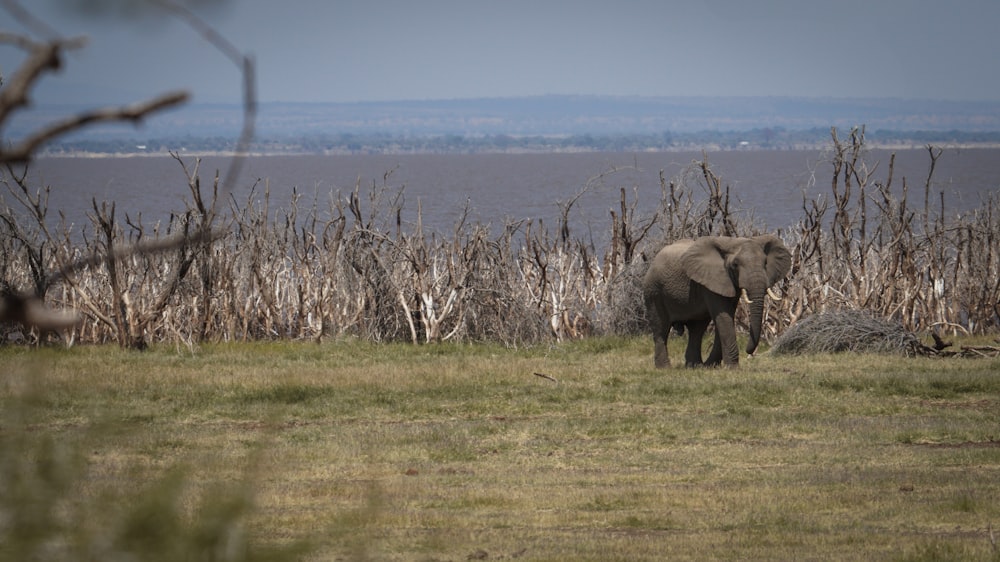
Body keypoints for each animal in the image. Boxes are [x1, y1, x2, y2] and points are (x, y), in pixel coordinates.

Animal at [644, 233, 792, 368]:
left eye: (765, 263)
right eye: (735, 264)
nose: (749, 352)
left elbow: (728, 315)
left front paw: (713, 366)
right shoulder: (711, 280)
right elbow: (723, 316)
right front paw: (732, 368)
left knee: (697, 329)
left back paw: (695, 366)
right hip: (653, 291)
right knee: (661, 329)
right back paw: (664, 368)